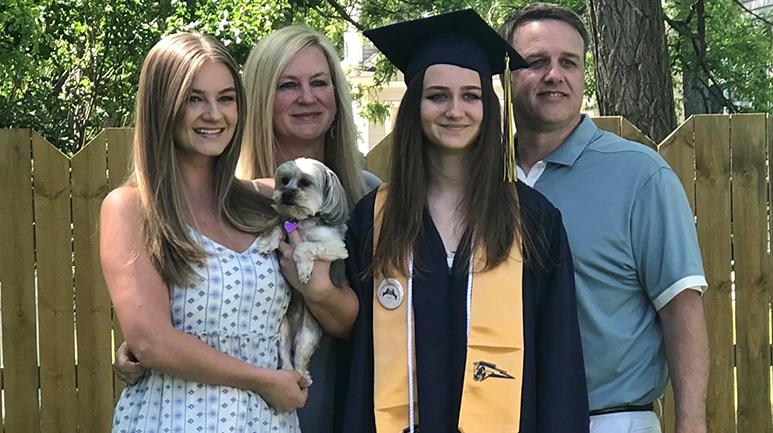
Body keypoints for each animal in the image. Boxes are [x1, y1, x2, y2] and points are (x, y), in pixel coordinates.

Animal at [256, 157, 346, 380]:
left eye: (305, 183)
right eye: (284, 180)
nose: (286, 193)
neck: (303, 221)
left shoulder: (336, 248)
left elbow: (304, 247)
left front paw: (304, 271)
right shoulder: (286, 224)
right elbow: (279, 227)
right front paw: (267, 242)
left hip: (307, 337)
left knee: (300, 361)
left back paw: (302, 375)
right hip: (282, 332)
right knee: (286, 358)